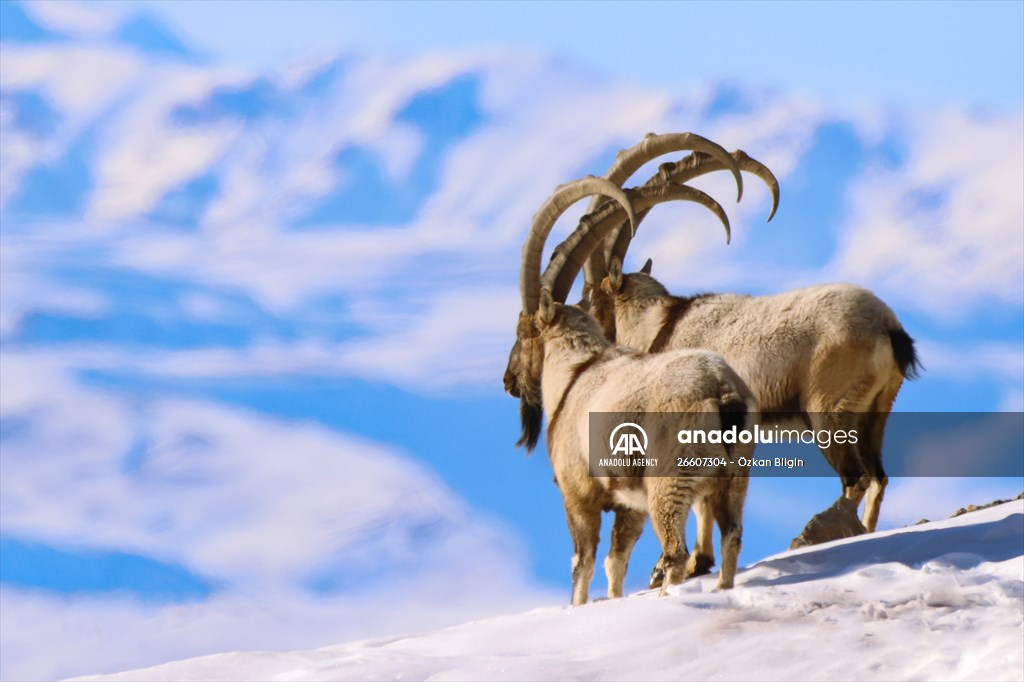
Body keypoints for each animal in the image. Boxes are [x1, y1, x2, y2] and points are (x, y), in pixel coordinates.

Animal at [504, 174, 757, 604]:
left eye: (523, 333)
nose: (507, 381)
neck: (575, 373)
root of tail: (723, 393)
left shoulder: (578, 495)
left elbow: (583, 564)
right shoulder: (629, 506)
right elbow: (616, 561)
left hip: (670, 483)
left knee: (675, 553)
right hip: (732, 481)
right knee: (732, 539)